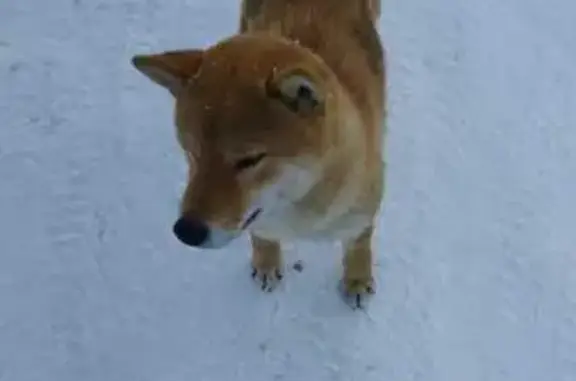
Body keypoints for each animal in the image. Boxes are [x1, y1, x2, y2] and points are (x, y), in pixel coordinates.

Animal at [130, 0, 388, 308]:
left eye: (249, 160)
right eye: (191, 153)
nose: (186, 232)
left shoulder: (361, 210)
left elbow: (358, 244)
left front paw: (357, 279)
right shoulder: (261, 219)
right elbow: (262, 234)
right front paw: (266, 263)